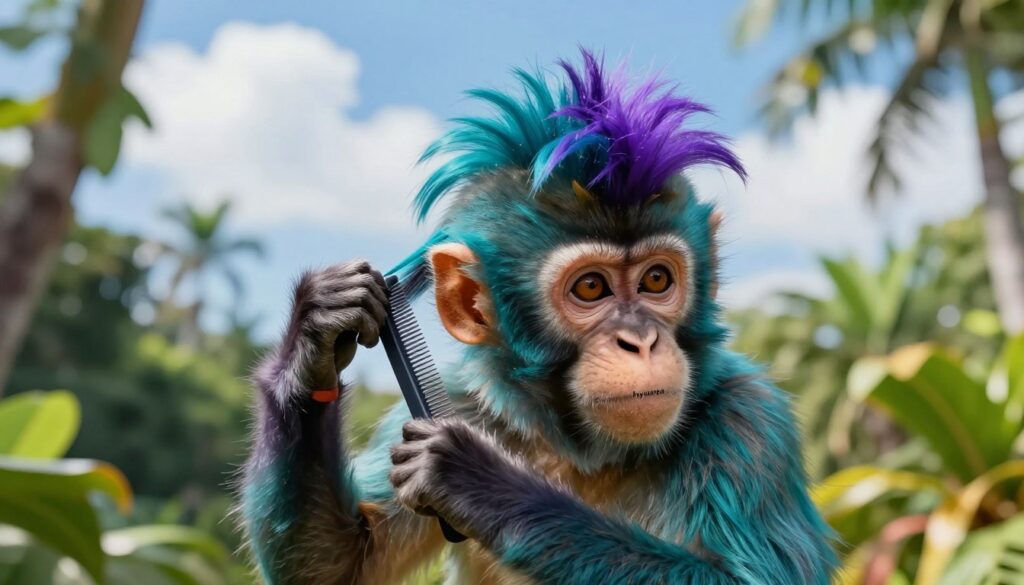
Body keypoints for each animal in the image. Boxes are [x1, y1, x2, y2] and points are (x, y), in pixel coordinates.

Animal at [240, 51, 838, 585]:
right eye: (592, 287)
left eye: (656, 281)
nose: (640, 340)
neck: (582, 452)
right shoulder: (459, 398)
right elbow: (340, 567)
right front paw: (317, 335)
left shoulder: (748, 420)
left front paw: (482, 483)